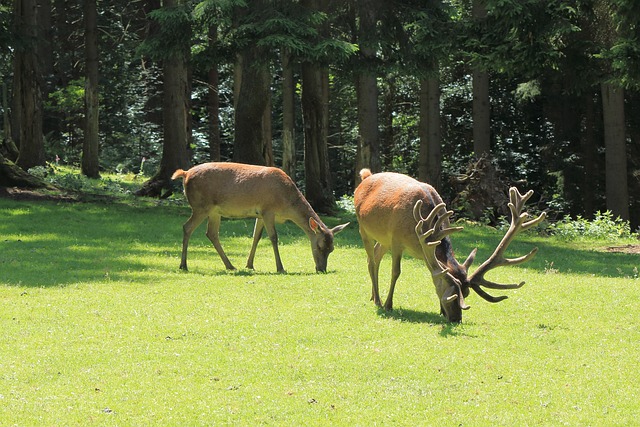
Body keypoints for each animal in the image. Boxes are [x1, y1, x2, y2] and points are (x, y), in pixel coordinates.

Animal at [172, 162, 348, 276]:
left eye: (332, 249)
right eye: (319, 246)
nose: (322, 269)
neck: (286, 206)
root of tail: (185, 174)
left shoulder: (260, 214)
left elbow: (256, 237)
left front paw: (249, 264)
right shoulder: (268, 210)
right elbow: (274, 237)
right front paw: (280, 268)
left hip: (214, 211)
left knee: (211, 233)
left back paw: (230, 266)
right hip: (201, 206)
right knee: (187, 227)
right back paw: (183, 265)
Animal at [356, 169, 544, 322]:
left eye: (466, 294)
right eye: (451, 296)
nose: (456, 319)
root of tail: (366, 177)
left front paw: (439, 311)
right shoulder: (396, 240)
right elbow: (396, 272)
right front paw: (389, 305)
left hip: (383, 240)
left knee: (376, 256)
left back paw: (373, 296)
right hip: (363, 228)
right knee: (371, 260)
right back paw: (378, 301)